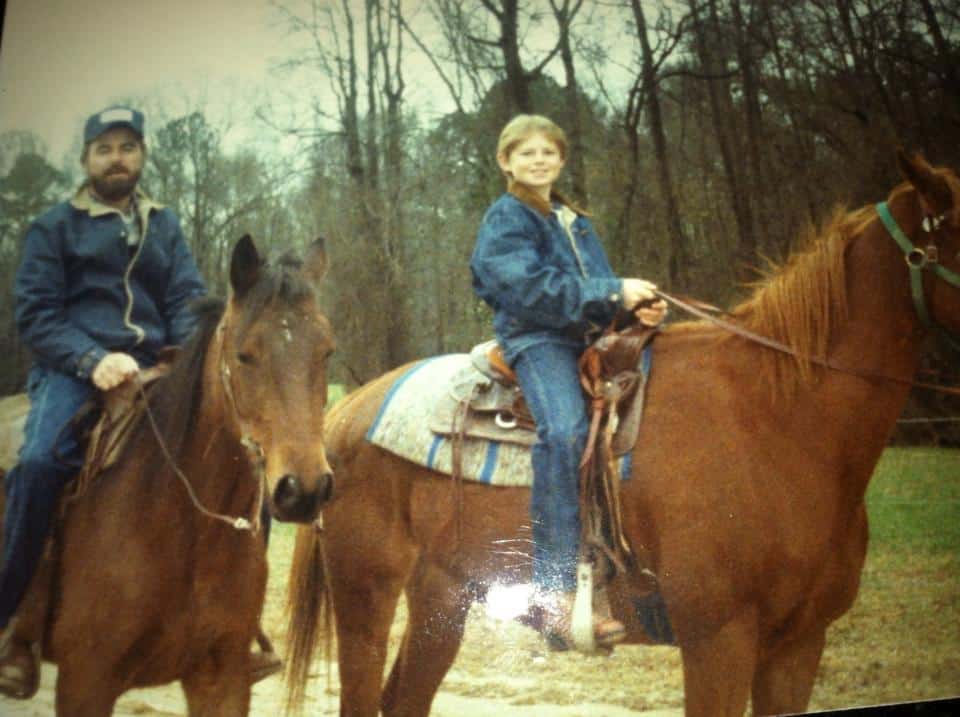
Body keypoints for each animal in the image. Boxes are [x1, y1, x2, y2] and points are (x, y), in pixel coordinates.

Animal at [284, 152, 960, 716]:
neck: (778, 422)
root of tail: (343, 418)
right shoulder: (718, 639)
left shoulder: (798, 645)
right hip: (366, 598)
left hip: (442, 601)